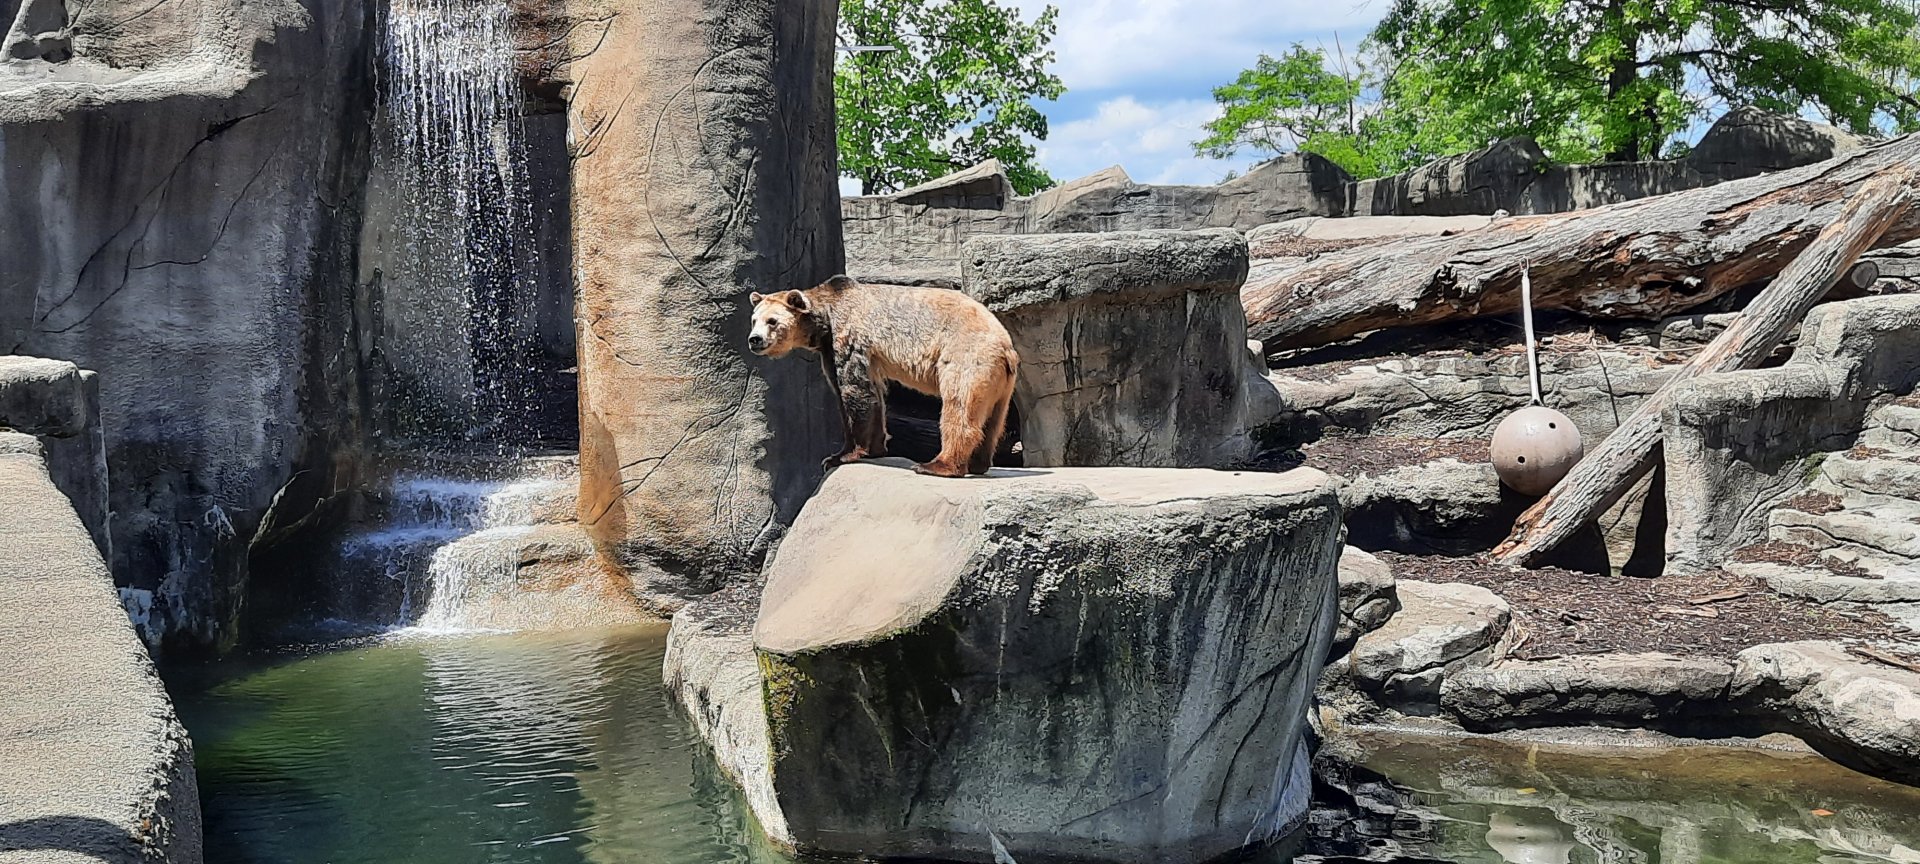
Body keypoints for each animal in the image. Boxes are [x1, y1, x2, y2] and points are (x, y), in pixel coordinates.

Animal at [748, 275, 1018, 478]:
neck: (824, 319)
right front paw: (873, 448)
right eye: (753, 320)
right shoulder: (843, 352)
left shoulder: (845, 338)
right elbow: (873, 395)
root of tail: (1007, 349)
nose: (754, 340)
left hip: (967, 357)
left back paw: (935, 465)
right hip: (1002, 384)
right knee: (993, 421)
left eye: (772, 321)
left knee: (958, 408)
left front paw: (843, 455)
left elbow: (853, 390)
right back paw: (978, 463)